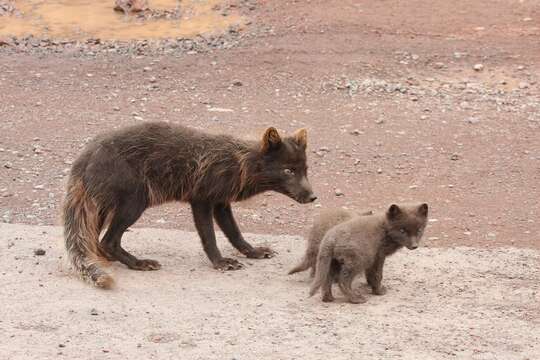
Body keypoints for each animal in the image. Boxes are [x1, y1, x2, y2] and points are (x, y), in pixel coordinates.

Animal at [63, 122, 316, 288]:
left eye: (305, 170)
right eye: (288, 171)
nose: (313, 197)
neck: (239, 163)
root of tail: (84, 157)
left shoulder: (221, 203)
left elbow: (235, 234)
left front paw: (252, 252)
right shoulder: (201, 200)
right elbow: (209, 237)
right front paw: (220, 262)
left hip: (103, 208)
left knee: (94, 241)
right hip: (134, 203)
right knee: (107, 241)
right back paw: (139, 263)